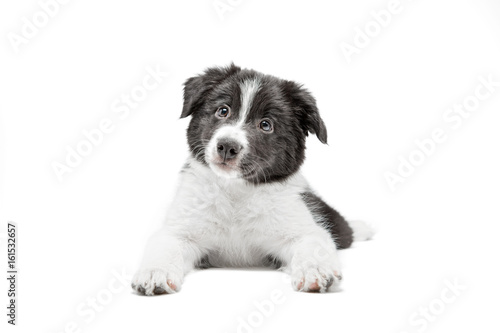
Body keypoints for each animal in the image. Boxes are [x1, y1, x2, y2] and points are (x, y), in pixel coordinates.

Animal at [131, 63, 374, 294]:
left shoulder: (301, 226)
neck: (235, 192)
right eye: (223, 111)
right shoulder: (179, 229)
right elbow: (164, 246)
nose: (227, 146)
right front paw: (155, 273)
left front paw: (316, 271)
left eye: (266, 125)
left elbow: (313, 243)